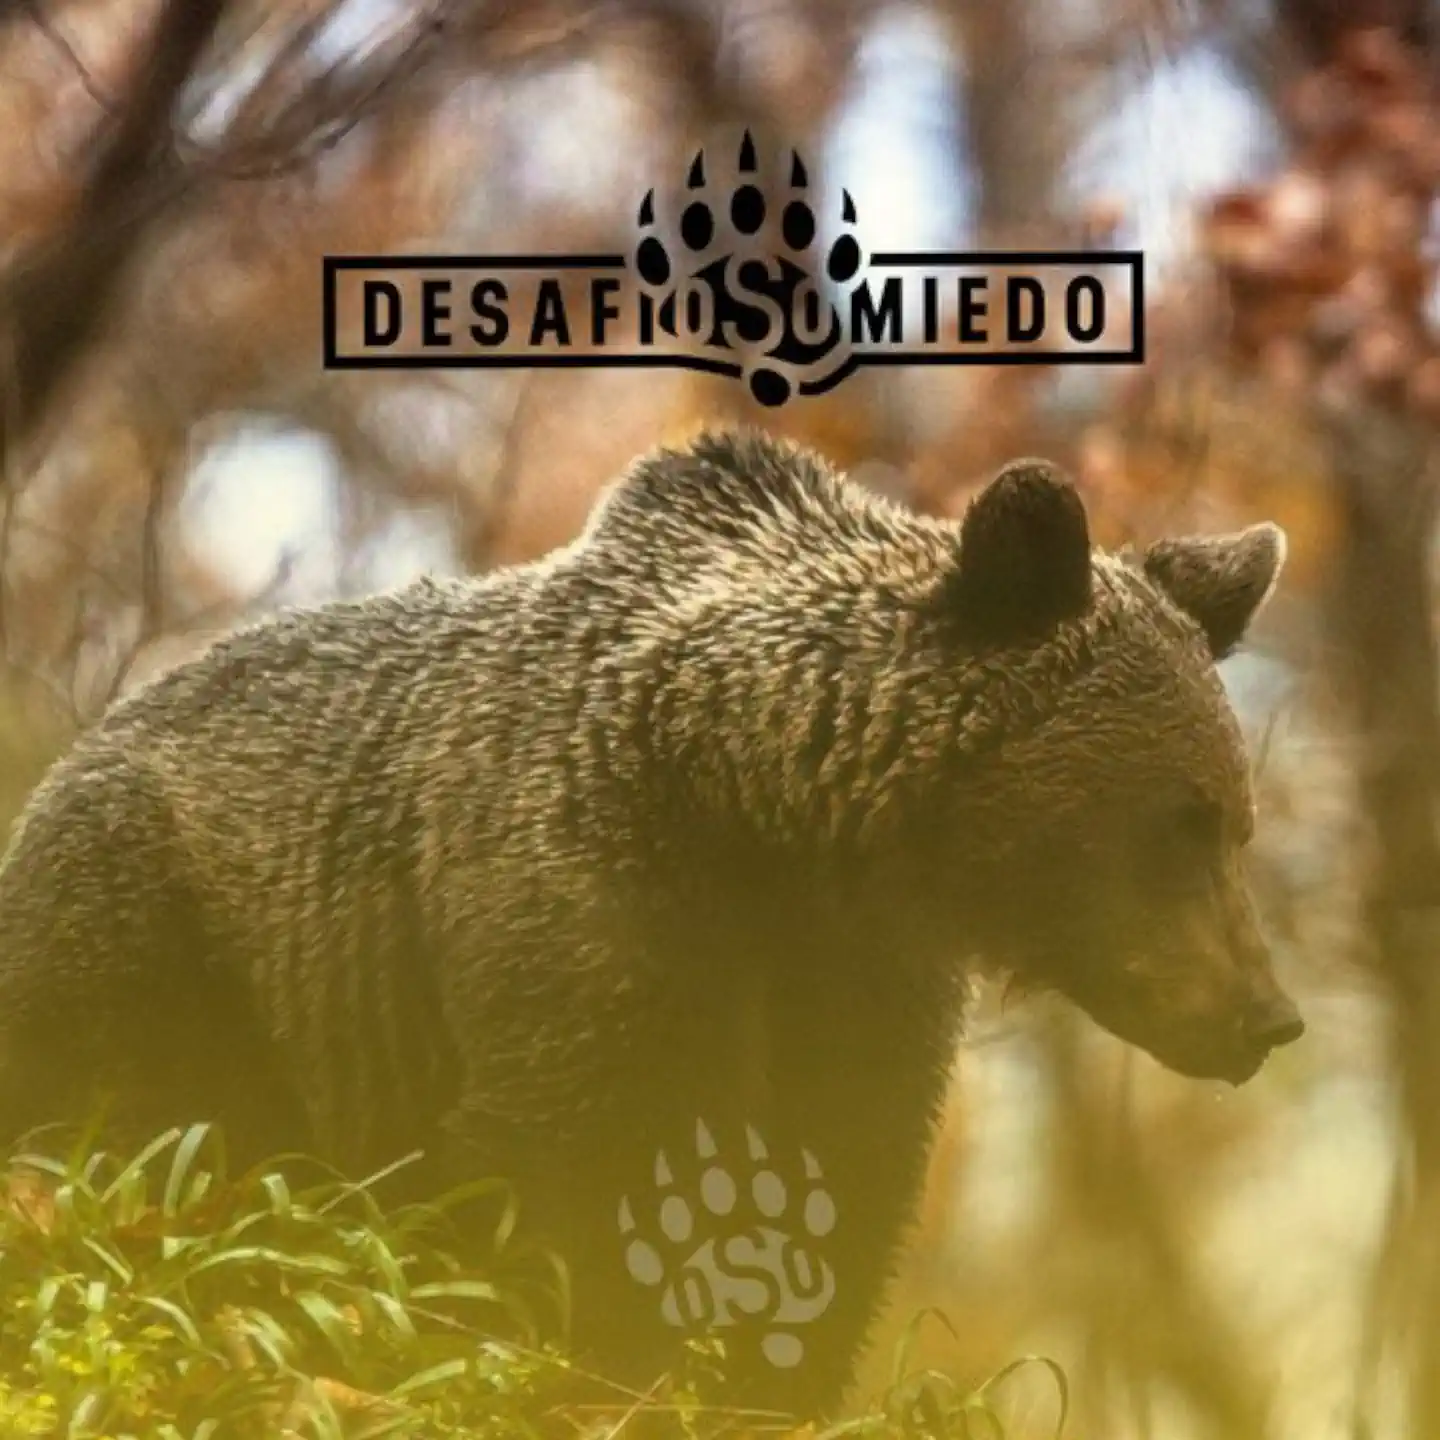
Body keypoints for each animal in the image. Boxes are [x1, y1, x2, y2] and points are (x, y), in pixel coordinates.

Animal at [0, 428, 1303, 1417]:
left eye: (1234, 821)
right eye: (1178, 821)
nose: (1267, 1016)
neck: (761, 800)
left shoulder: (862, 984)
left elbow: (839, 1193)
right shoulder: (588, 913)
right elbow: (563, 1169)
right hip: (164, 921)